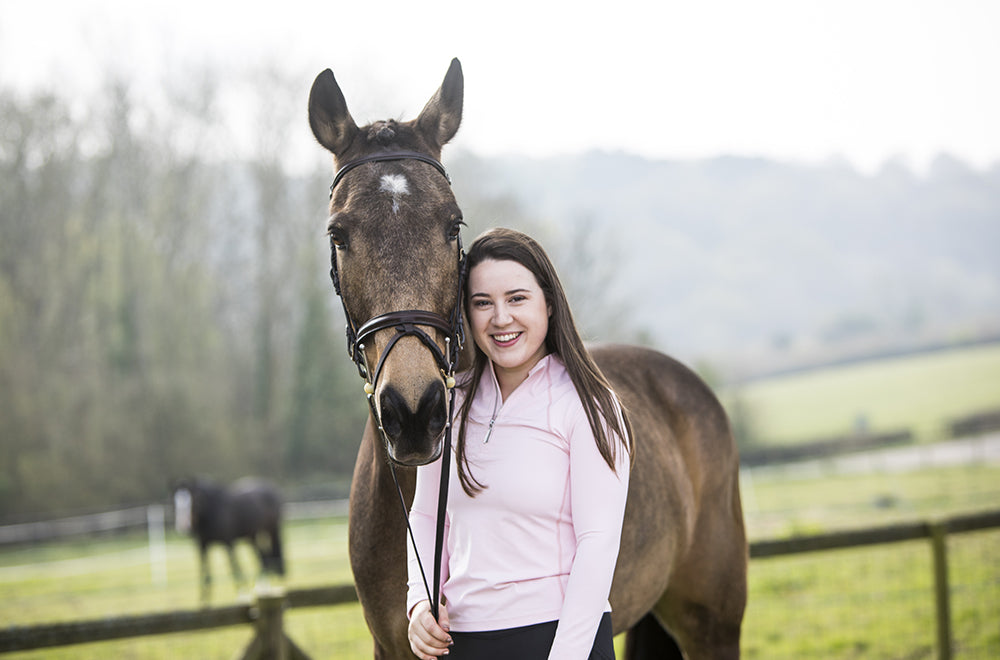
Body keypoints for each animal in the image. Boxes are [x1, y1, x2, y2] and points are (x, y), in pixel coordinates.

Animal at [172, 474, 286, 604]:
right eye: (175, 501)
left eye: (194, 500)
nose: (183, 527)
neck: (211, 512)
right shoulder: (202, 546)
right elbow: (205, 574)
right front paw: (204, 602)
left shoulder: (228, 543)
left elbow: (235, 568)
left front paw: (243, 595)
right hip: (251, 537)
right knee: (262, 557)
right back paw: (262, 588)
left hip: (272, 530)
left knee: (266, 557)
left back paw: (263, 589)